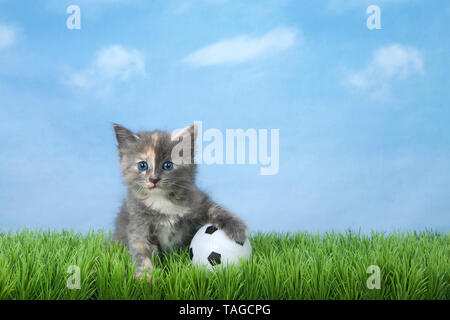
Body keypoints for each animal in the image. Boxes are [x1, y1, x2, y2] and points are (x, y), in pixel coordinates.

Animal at [111, 122, 248, 280]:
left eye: (168, 165)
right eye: (142, 165)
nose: (153, 179)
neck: (161, 200)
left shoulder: (197, 201)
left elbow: (215, 209)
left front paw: (237, 228)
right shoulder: (138, 223)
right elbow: (141, 251)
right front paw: (145, 277)